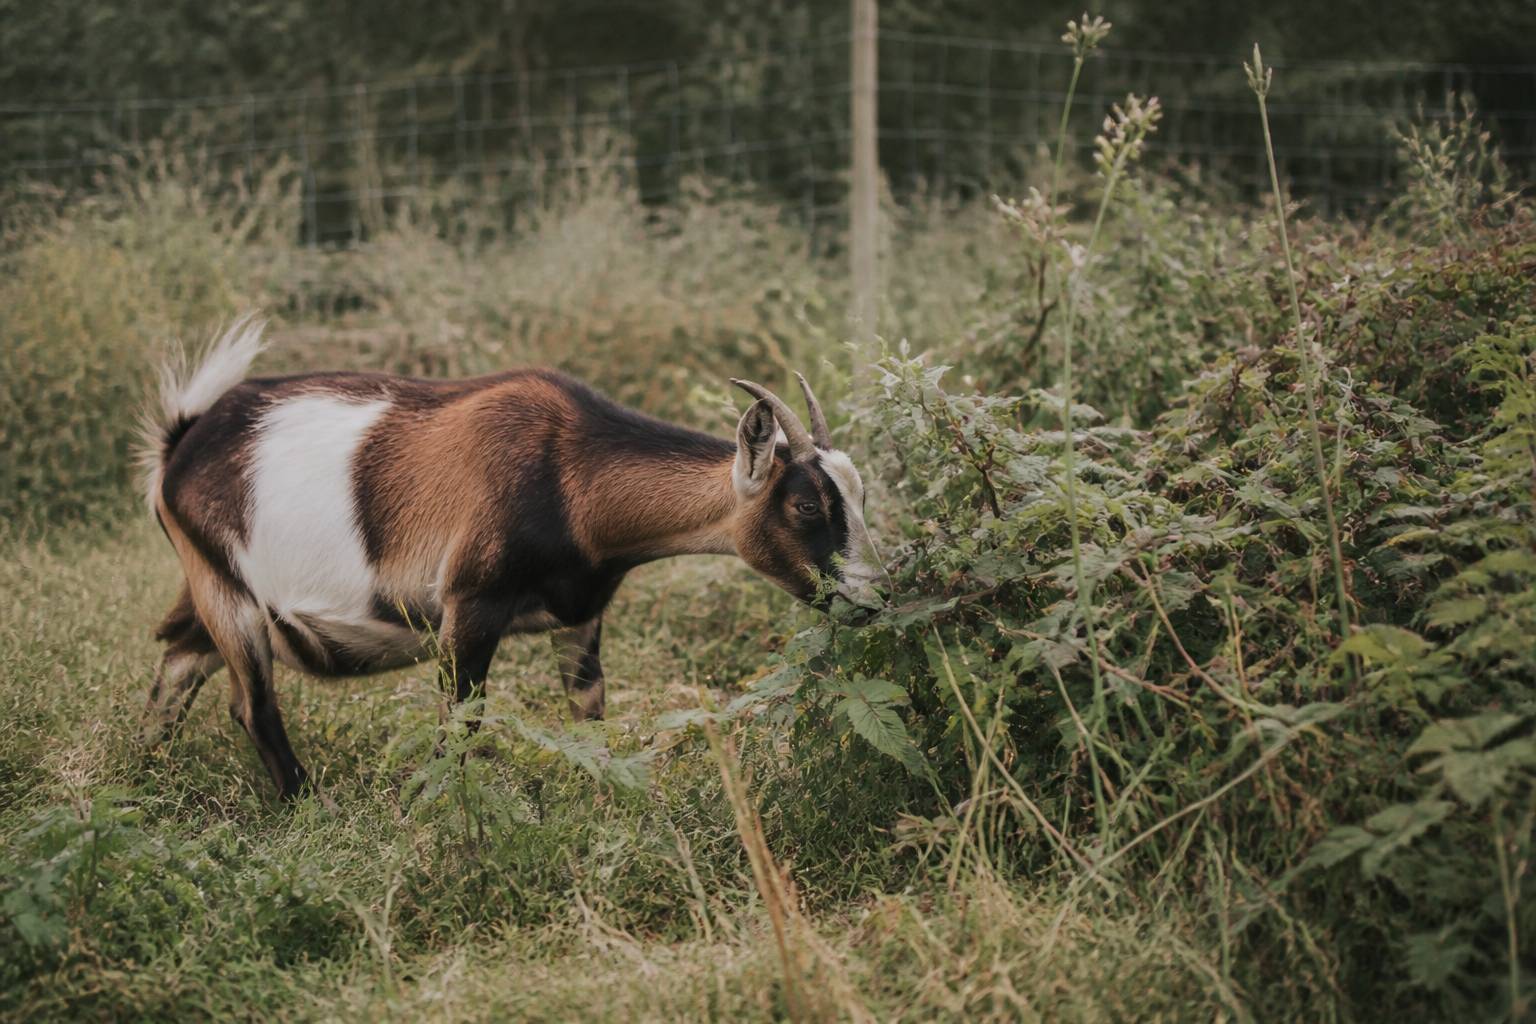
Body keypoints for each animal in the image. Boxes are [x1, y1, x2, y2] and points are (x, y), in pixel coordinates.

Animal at [139, 315, 880, 799]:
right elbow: (460, 726)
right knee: (252, 707)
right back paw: (304, 805)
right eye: (806, 505)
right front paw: (436, 817)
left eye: (860, 493)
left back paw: (144, 778)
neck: (569, 470)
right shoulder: (469, 605)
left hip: (210, 597)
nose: (873, 598)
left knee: (176, 664)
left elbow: (590, 715)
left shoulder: (580, 613)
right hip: (226, 590)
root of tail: (182, 442)